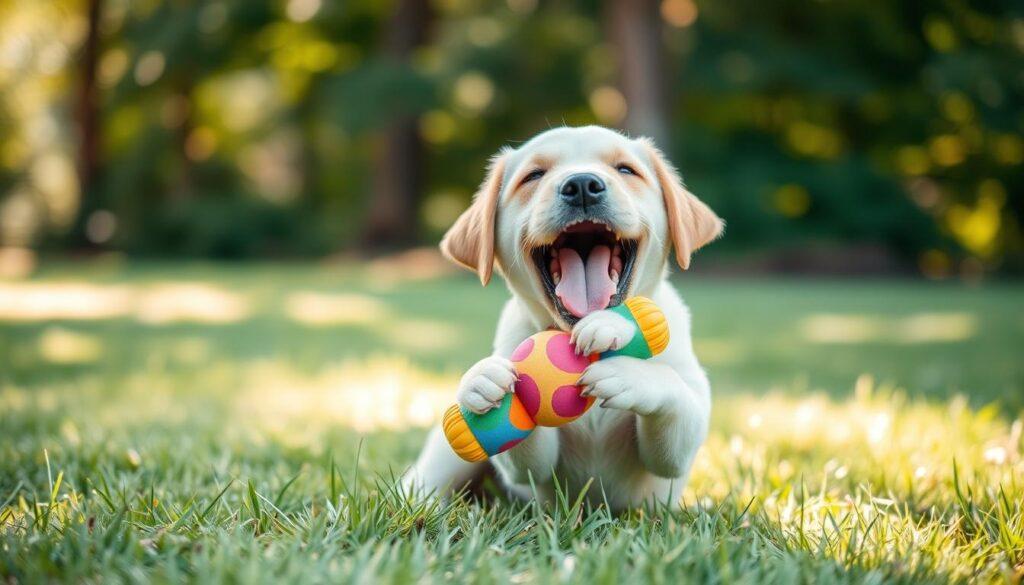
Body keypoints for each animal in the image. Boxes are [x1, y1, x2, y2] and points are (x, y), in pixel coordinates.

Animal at [403, 126, 724, 510]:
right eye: (533, 176)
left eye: (626, 170)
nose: (583, 184)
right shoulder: (531, 471)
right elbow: (526, 450)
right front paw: (482, 377)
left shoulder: (675, 453)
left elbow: (673, 398)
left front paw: (620, 351)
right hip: (444, 455)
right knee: (422, 481)